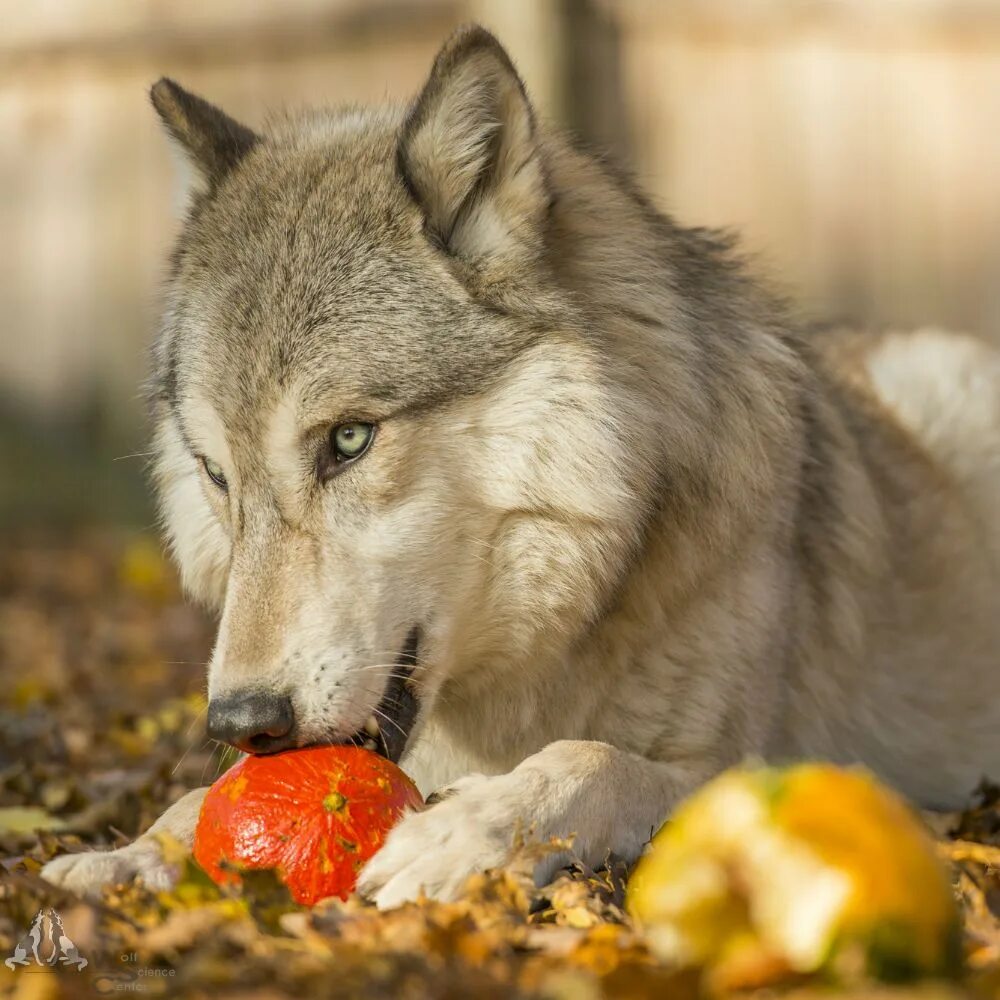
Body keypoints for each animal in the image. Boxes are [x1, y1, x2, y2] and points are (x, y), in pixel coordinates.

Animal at [43, 25, 1000, 908]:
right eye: (217, 474)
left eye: (348, 440)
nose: (243, 721)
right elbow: (193, 803)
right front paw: (129, 856)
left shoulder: (765, 767)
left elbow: (592, 758)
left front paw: (469, 828)